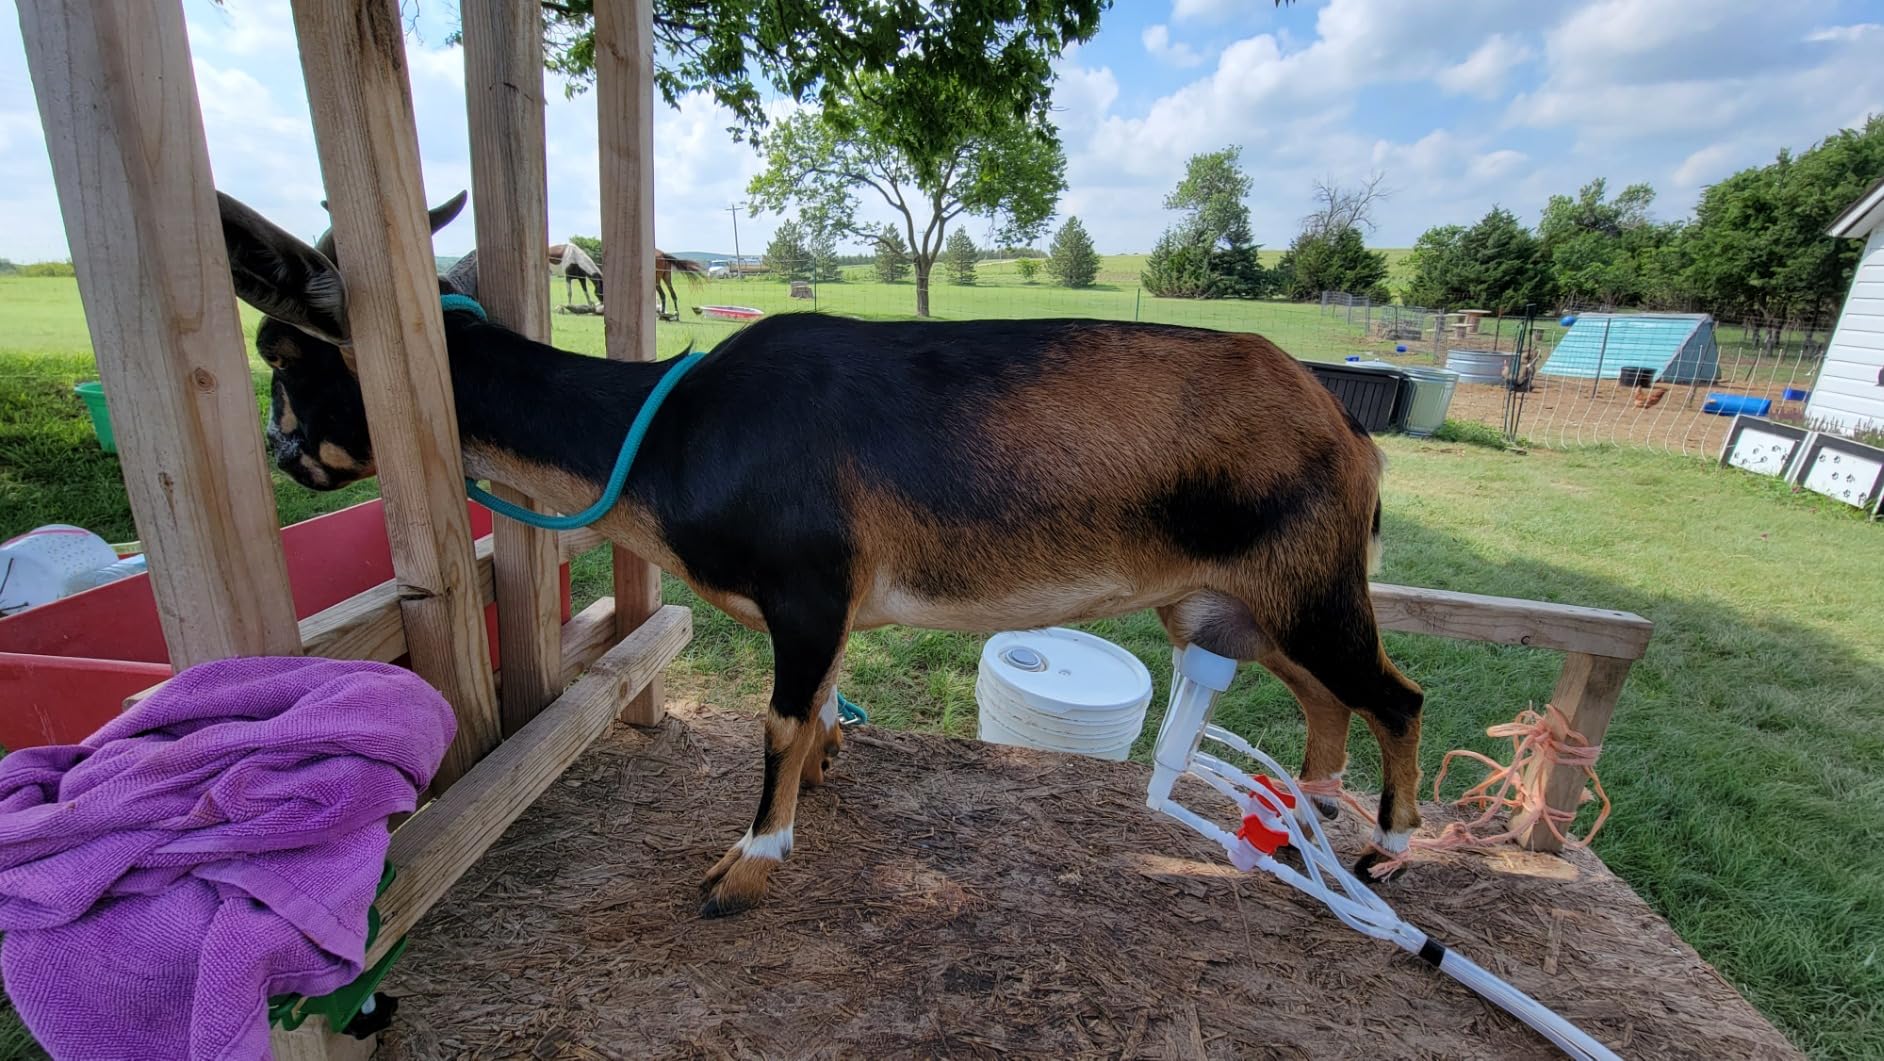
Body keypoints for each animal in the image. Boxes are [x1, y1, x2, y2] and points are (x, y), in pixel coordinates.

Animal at [216, 191, 1426, 918]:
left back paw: (1387, 849)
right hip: (1236, 605)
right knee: (1327, 699)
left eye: (285, 349)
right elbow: (825, 707)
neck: (673, 429)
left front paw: (747, 862)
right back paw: (1308, 816)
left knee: (1395, 695)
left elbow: (777, 722)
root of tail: (1347, 429)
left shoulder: (805, 589)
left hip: (1311, 588)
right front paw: (828, 772)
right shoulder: (834, 607)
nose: (282, 454)